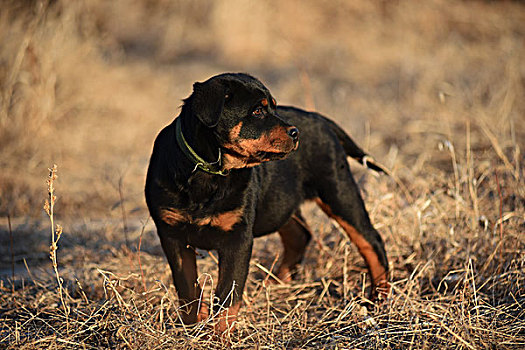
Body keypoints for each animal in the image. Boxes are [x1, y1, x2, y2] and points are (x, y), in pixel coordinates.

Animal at [144, 72, 388, 332]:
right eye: (258, 111)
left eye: (273, 107)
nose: (295, 132)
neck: (208, 173)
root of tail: (320, 118)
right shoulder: (172, 234)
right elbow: (187, 289)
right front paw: (193, 327)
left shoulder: (238, 237)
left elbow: (228, 295)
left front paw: (218, 335)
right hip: (281, 201)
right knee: (299, 235)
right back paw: (275, 284)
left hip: (337, 189)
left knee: (370, 239)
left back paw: (380, 298)